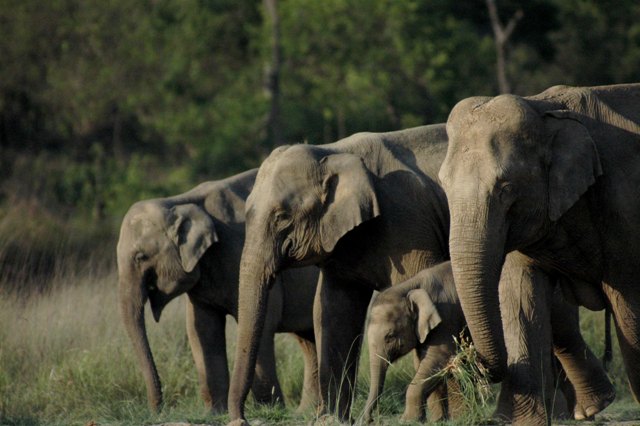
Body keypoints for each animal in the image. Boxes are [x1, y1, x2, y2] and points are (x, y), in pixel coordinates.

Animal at [116, 171, 320, 416]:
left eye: (141, 257)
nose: (159, 411)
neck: (180, 201)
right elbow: (201, 330)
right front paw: (216, 412)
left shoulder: (242, 251)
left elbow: (261, 324)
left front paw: (269, 411)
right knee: (309, 339)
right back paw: (307, 411)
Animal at [228, 121, 612, 424]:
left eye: (281, 217)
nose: (240, 420)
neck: (334, 151)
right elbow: (332, 313)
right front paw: (330, 421)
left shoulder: (410, 223)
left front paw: (446, 419)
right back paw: (580, 410)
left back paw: (578, 411)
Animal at [438, 82, 640, 422]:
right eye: (443, 185)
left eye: (507, 189)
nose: (464, 359)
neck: (543, 109)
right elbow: (520, 295)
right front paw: (516, 421)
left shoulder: (624, 200)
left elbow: (629, 305)